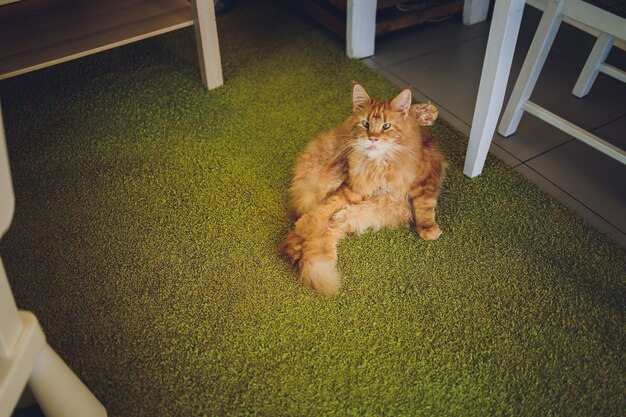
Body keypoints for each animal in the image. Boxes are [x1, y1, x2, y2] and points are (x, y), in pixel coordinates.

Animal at [278, 83, 444, 296]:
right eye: (366, 124)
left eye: (386, 126)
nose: (372, 138)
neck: (380, 164)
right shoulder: (353, 189)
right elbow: (325, 207)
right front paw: (306, 221)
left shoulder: (425, 179)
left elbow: (425, 206)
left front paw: (428, 229)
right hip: (334, 170)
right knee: (323, 225)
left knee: (332, 225)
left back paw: (427, 112)